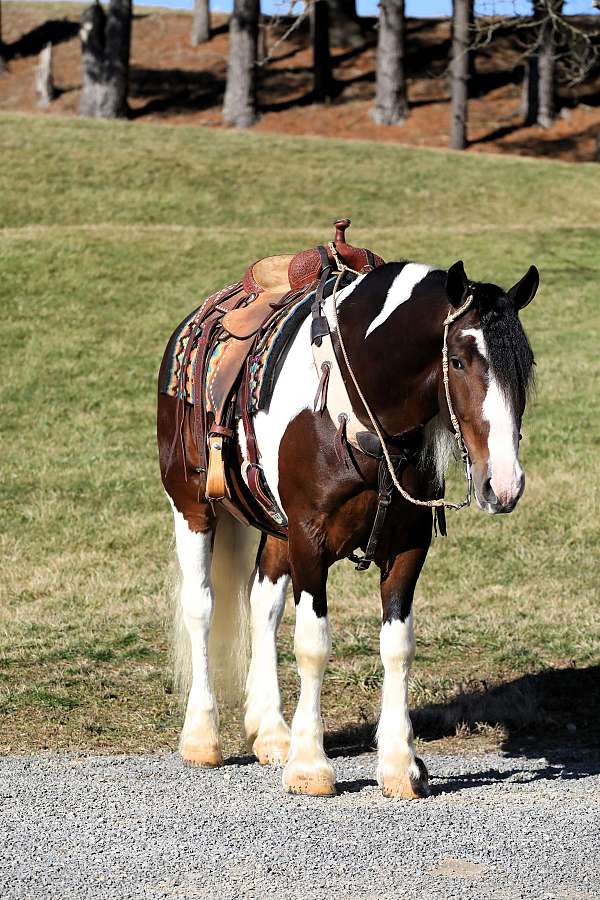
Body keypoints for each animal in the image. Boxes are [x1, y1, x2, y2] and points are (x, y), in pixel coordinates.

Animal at [156, 243, 540, 800]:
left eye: (524, 365)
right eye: (459, 359)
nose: (504, 484)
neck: (358, 406)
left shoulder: (408, 544)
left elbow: (398, 646)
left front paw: (400, 764)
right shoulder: (310, 539)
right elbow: (313, 644)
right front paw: (310, 765)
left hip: (277, 531)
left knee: (263, 604)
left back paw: (272, 731)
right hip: (193, 508)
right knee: (201, 608)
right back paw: (202, 736)